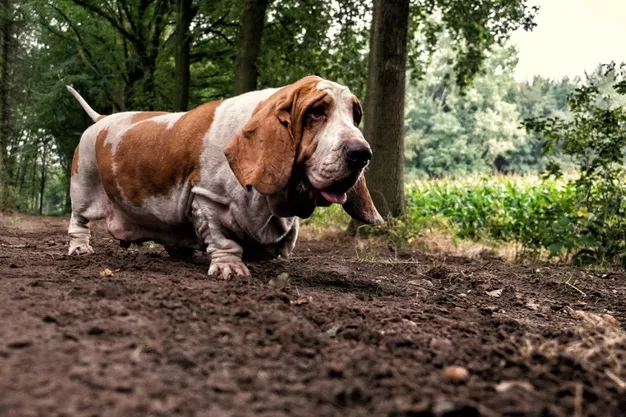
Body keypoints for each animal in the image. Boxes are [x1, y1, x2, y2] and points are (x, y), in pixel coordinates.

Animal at [66, 75, 382, 276]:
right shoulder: (207, 199)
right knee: (78, 221)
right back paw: (80, 249)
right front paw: (230, 268)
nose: (362, 154)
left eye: (355, 116)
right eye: (317, 112)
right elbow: (222, 238)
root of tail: (101, 120)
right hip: (83, 185)